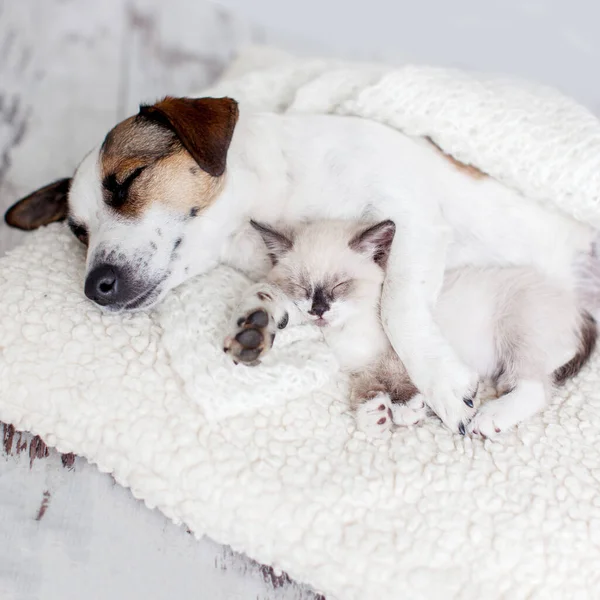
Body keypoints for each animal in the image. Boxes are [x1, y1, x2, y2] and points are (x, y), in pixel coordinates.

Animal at [229, 218, 596, 438]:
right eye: (301, 287)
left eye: (341, 285)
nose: (318, 309)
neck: (347, 331)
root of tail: (579, 309)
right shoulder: (358, 367)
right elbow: (364, 384)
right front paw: (373, 412)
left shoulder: (395, 351)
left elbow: (404, 375)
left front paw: (405, 410)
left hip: (516, 330)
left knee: (536, 387)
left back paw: (490, 418)